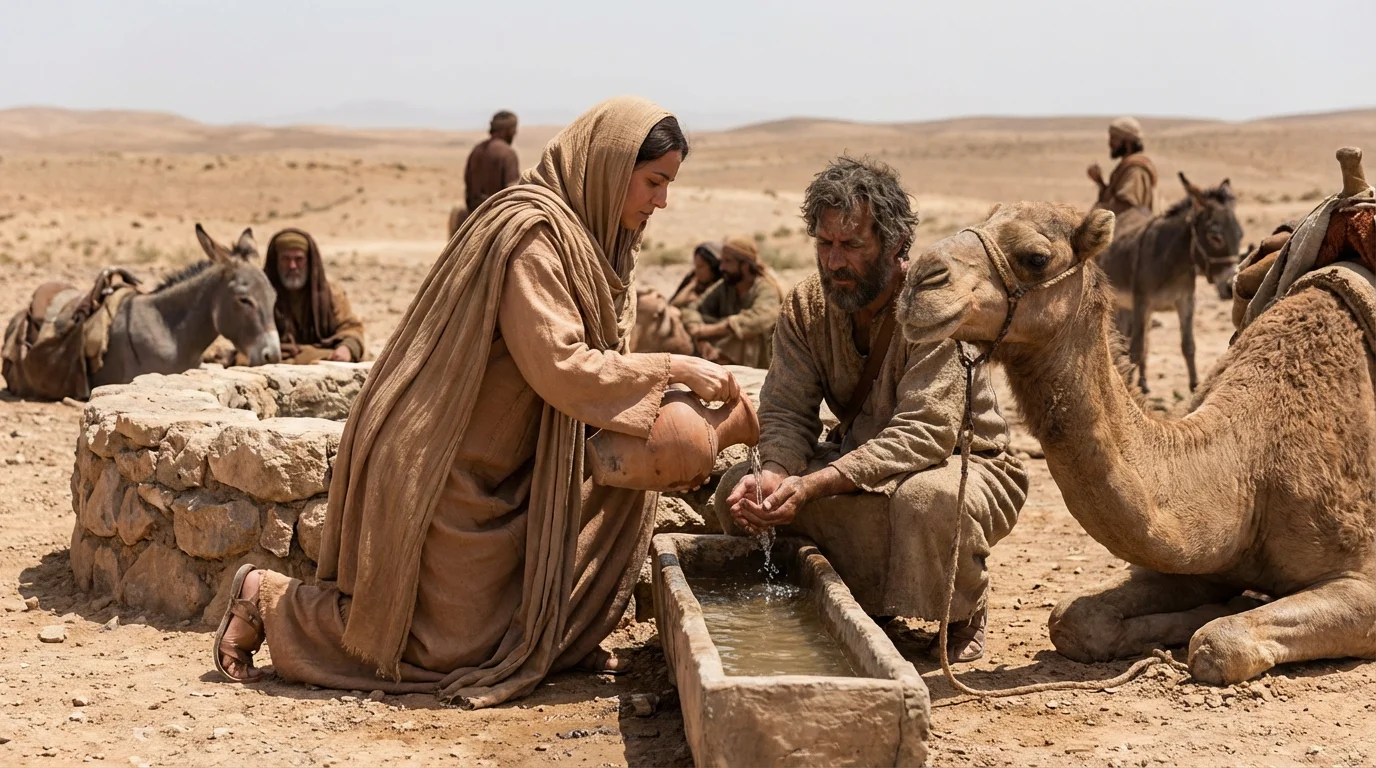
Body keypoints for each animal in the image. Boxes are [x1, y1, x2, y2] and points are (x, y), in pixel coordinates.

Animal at [894, 153, 1376, 685]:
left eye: (1036, 257)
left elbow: (1217, 643)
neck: (1250, 464)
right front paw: (1207, 611)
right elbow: (1072, 618)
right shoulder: (1204, 557)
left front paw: (1218, 617)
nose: (920, 279)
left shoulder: (1364, 580)